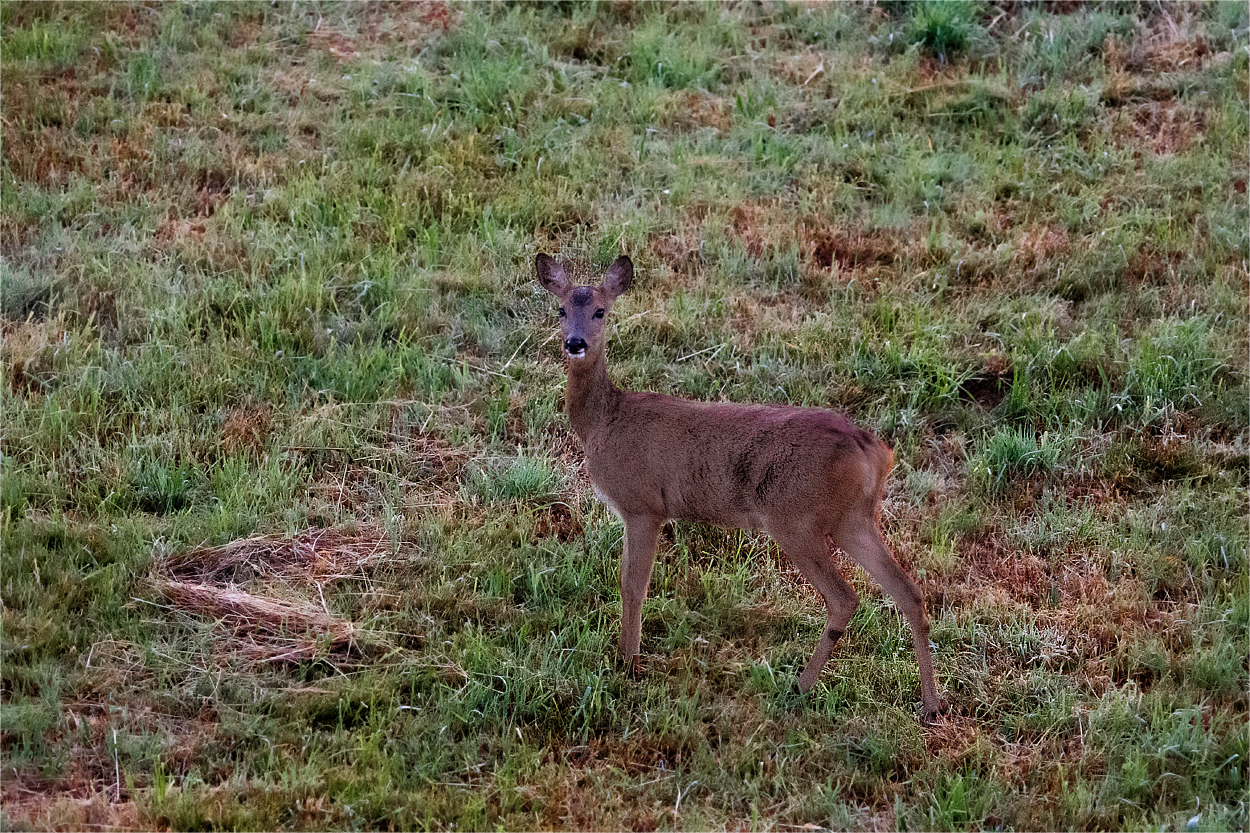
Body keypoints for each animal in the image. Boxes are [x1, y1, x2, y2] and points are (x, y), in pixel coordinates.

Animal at [537, 252, 945, 720]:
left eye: (601, 311)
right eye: (561, 310)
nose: (575, 344)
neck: (604, 421)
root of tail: (875, 452)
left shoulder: (643, 506)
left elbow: (632, 584)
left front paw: (628, 662)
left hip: (796, 520)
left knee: (845, 597)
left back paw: (800, 686)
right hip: (853, 519)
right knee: (908, 591)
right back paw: (931, 705)